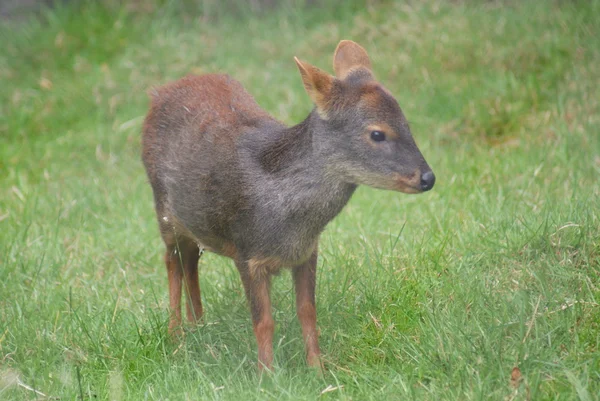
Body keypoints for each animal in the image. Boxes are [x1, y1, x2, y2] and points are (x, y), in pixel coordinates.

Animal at [142, 39, 432, 368]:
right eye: (377, 133)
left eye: (406, 123)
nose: (428, 177)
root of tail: (159, 93)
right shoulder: (247, 251)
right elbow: (263, 321)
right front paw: (267, 372)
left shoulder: (307, 251)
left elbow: (307, 312)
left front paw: (318, 368)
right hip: (164, 210)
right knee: (172, 261)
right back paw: (175, 336)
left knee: (190, 259)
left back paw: (198, 326)